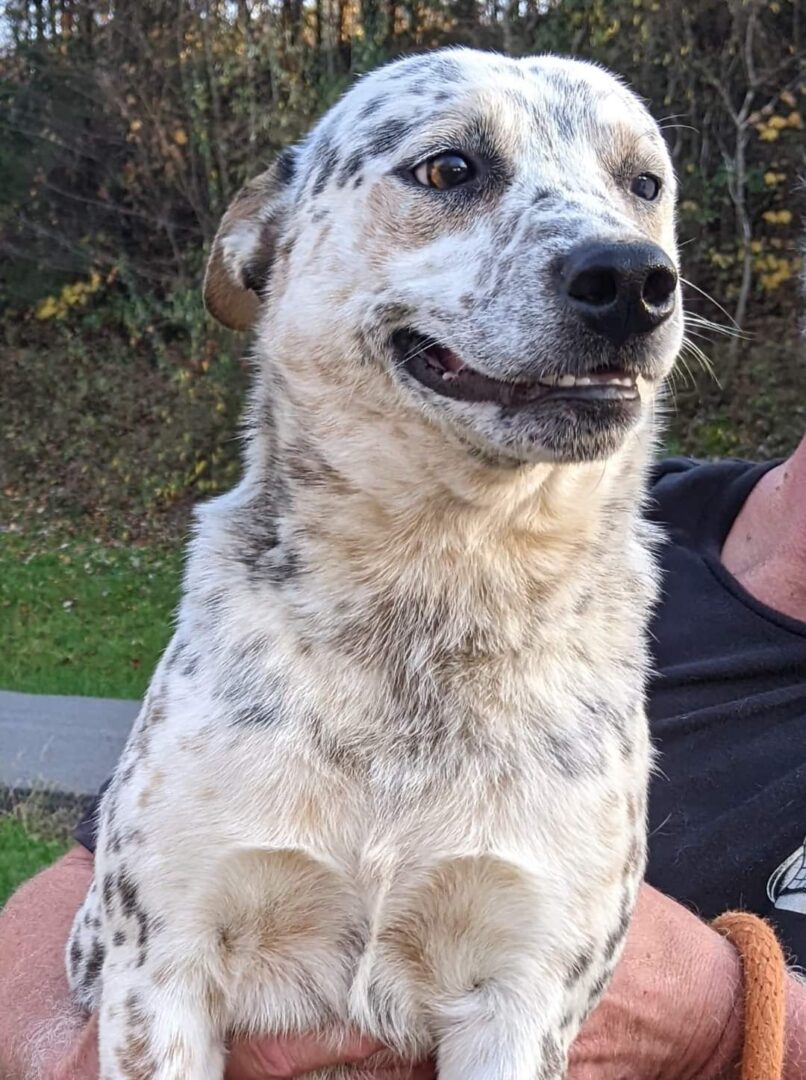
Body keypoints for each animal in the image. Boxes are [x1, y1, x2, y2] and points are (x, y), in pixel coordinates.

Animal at [67, 47, 682, 1080]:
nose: (635, 278)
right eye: (449, 167)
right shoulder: (164, 966)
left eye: (643, 184)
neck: (436, 582)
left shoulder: (528, 989)